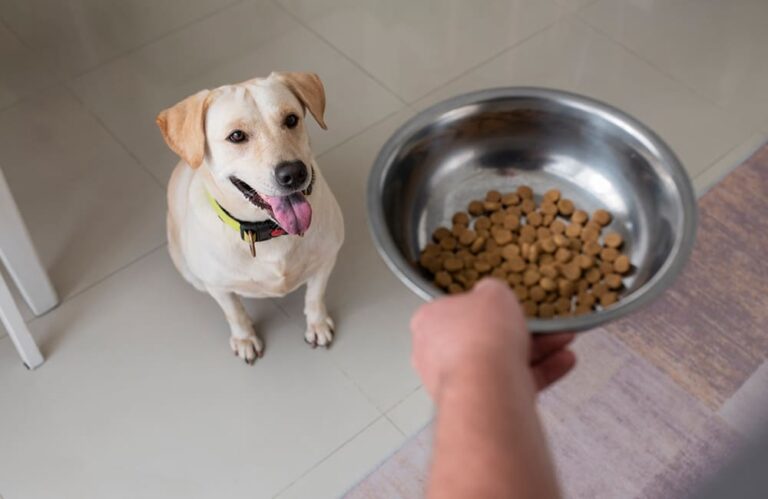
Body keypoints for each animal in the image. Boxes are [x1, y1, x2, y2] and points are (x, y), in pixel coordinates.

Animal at [158, 72, 344, 366]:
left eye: (291, 119)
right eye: (236, 136)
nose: (294, 173)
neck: (269, 231)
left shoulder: (326, 259)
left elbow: (315, 296)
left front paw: (317, 324)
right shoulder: (218, 286)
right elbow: (235, 313)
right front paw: (245, 339)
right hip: (188, 269)